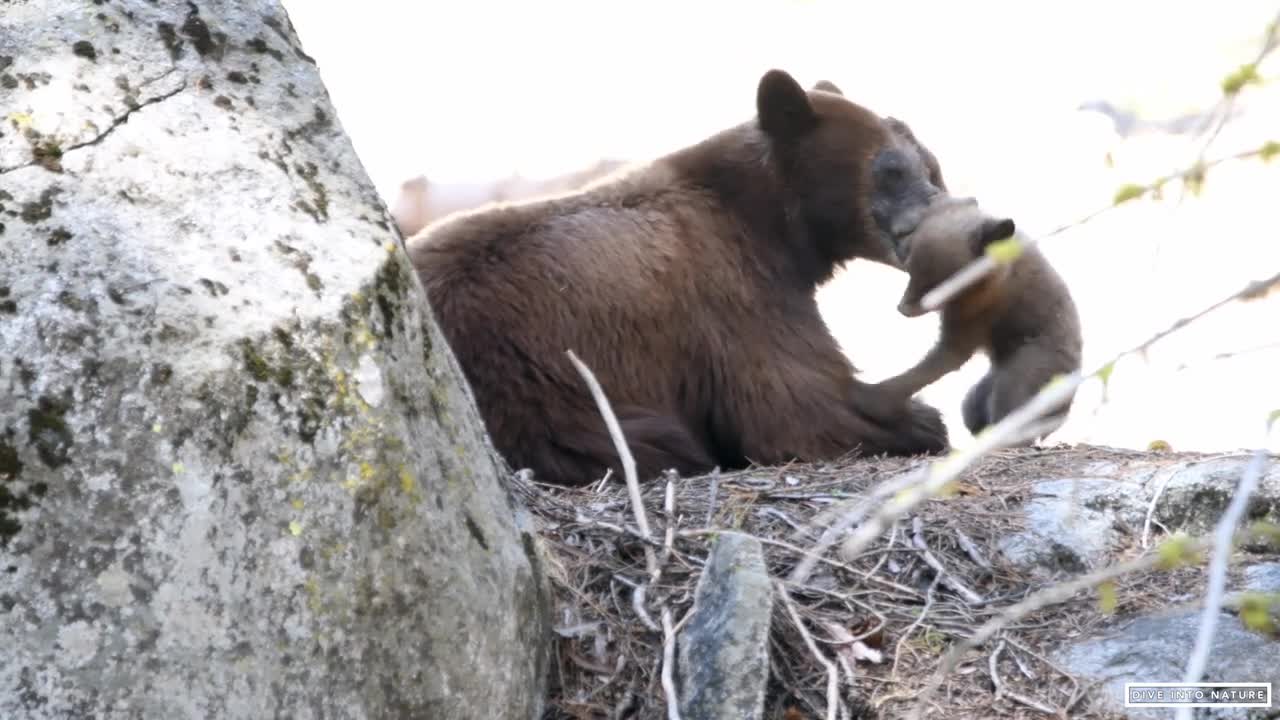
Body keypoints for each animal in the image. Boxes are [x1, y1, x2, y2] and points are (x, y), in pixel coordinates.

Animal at [407, 68, 952, 481]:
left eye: (931, 166)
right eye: (891, 170)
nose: (942, 209)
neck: (766, 221)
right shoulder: (729, 293)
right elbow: (791, 407)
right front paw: (920, 420)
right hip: (536, 386)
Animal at [870, 196, 1080, 440]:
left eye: (937, 285)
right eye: (910, 271)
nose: (901, 308)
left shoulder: (974, 316)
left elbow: (944, 359)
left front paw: (877, 396)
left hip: (1029, 370)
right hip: (983, 390)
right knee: (975, 411)